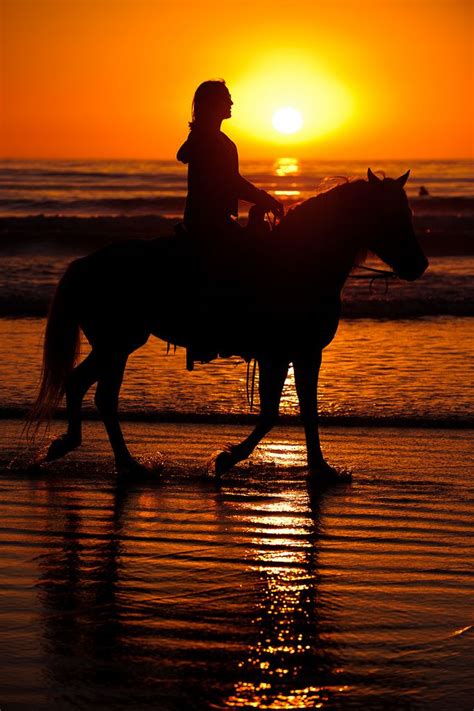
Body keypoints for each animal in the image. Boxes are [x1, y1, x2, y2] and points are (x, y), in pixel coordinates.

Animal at [28, 170, 430, 484]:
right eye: (390, 214)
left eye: (409, 212)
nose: (420, 265)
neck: (302, 261)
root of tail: (84, 263)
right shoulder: (280, 354)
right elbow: (273, 413)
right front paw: (227, 459)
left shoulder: (301, 353)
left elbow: (305, 411)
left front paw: (321, 468)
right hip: (117, 343)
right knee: (101, 396)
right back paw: (126, 464)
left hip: (115, 344)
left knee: (82, 386)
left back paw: (74, 448)